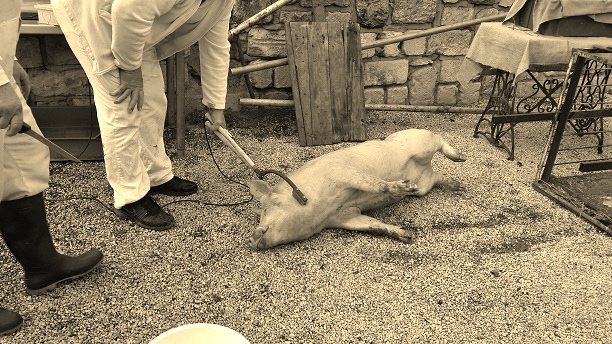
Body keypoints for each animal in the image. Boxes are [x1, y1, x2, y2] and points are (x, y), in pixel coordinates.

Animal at [246, 129, 466, 250]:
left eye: (266, 208)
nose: (251, 239)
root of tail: (427, 168)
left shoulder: (343, 173)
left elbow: (373, 183)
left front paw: (404, 186)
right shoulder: (343, 216)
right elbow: (372, 225)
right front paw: (407, 236)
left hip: (421, 144)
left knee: (439, 139)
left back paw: (461, 158)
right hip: (425, 184)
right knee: (437, 178)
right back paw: (458, 186)